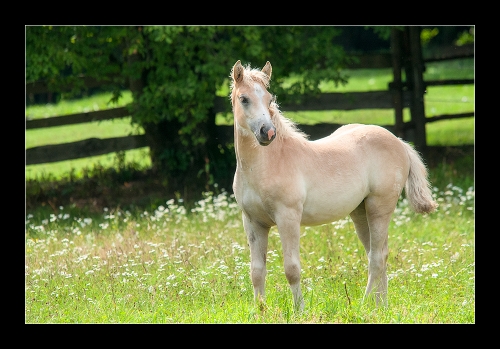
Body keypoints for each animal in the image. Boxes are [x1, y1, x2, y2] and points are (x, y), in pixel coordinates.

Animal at [230, 59, 438, 310]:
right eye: (244, 98)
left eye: (269, 99)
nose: (267, 133)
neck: (268, 164)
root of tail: (399, 142)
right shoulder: (253, 222)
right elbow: (257, 272)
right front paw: (259, 311)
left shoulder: (288, 217)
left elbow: (292, 269)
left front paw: (299, 311)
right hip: (360, 212)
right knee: (379, 253)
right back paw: (381, 308)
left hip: (379, 208)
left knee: (377, 258)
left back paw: (363, 306)